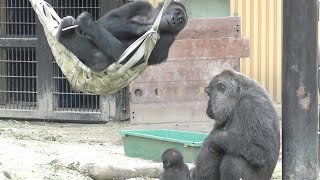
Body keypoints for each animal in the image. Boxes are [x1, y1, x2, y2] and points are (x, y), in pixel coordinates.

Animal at [55, 1, 188, 72]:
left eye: (181, 21)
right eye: (177, 12)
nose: (175, 20)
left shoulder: (168, 38)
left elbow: (127, 58)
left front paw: (87, 23)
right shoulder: (141, 4)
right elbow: (107, 21)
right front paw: (143, 28)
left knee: (99, 57)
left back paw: (68, 36)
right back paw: (67, 35)